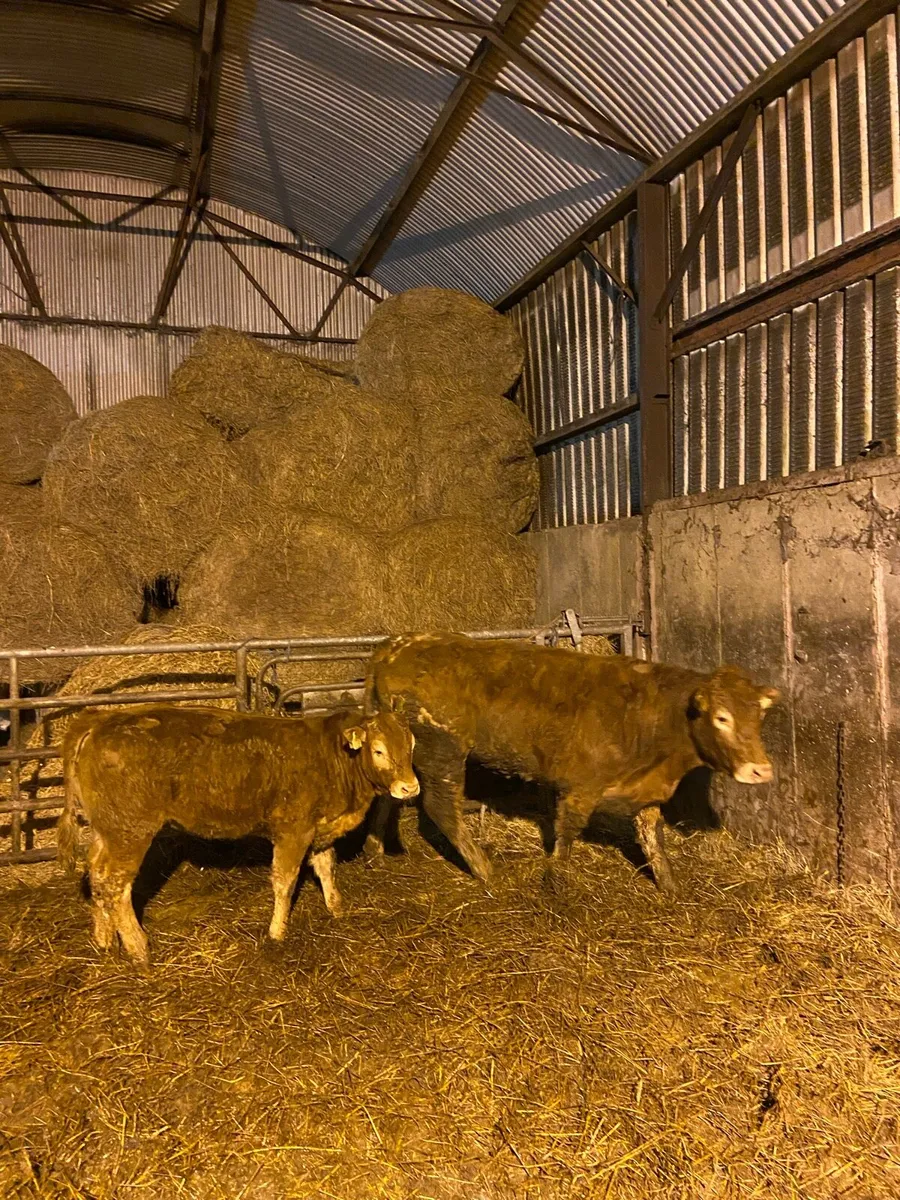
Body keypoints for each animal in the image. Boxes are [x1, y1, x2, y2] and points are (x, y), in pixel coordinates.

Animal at [58, 703, 418, 963]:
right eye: (379, 750)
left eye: (411, 745)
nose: (409, 787)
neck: (334, 756)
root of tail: (99, 721)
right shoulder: (293, 830)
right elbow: (285, 882)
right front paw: (277, 933)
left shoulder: (321, 829)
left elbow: (326, 868)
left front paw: (337, 909)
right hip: (130, 831)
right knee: (116, 884)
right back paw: (138, 948)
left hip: (107, 830)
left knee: (96, 873)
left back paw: (104, 940)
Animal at [364, 632, 779, 894]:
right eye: (722, 718)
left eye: (759, 717)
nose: (761, 770)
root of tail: (397, 646)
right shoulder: (580, 788)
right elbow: (566, 836)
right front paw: (557, 883)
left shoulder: (646, 793)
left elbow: (652, 839)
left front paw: (671, 887)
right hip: (444, 749)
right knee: (441, 808)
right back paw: (486, 870)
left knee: (385, 792)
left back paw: (374, 850)